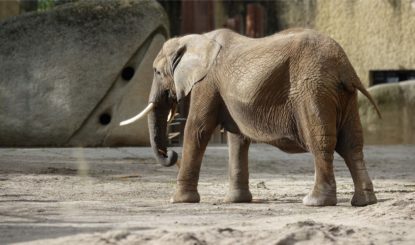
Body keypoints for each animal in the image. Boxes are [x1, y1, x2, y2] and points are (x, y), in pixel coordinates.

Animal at [119, 28, 380, 207]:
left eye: (156, 72)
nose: (172, 155)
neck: (195, 40)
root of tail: (344, 66)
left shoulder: (207, 83)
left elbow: (197, 129)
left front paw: (178, 200)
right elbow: (237, 138)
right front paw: (236, 201)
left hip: (312, 89)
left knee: (321, 143)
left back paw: (314, 202)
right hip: (344, 96)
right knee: (352, 144)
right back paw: (364, 201)